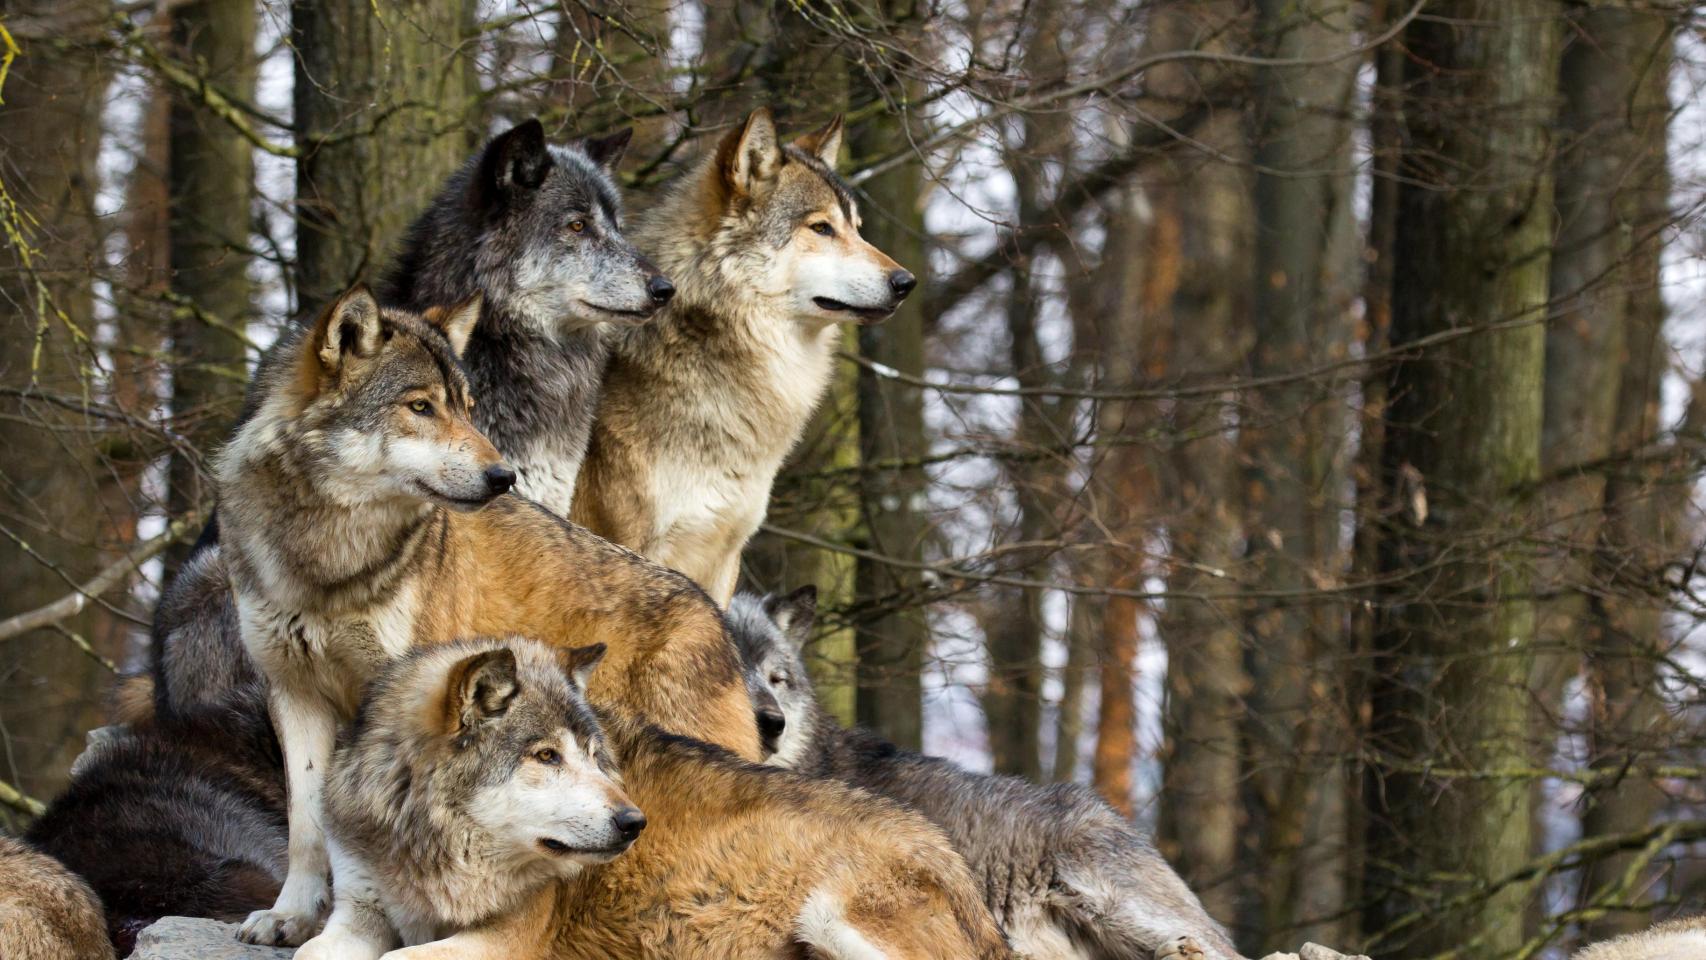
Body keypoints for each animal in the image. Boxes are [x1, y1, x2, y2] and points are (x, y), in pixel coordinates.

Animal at [218, 288, 760, 946]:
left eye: (468, 409)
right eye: (420, 407)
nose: (504, 476)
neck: (330, 561)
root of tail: (715, 615)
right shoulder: (292, 691)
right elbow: (306, 824)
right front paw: (290, 916)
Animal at [302, 635, 1012, 960]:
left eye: (595, 756)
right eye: (547, 757)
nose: (632, 821)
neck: (432, 850)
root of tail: (956, 866)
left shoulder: (506, 940)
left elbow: (401, 957)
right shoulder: (359, 909)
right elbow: (315, 951)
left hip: (831, 916)